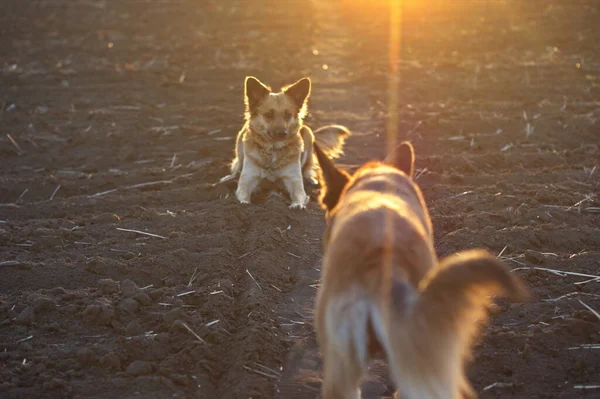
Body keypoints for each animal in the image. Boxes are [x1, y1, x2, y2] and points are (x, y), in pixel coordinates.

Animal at [220, 76, 350, 211]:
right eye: (268, 114)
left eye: (288, 115)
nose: (283, 133)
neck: (273, 150)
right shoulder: (248, 180)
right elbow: (243, 193)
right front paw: (244, 204)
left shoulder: (294, 181)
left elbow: (298, 194)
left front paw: (297, 205)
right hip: (240, 140)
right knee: (238, 165)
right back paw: (229, 177)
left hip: (308, 134)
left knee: (308, 166)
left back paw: (310, 179)